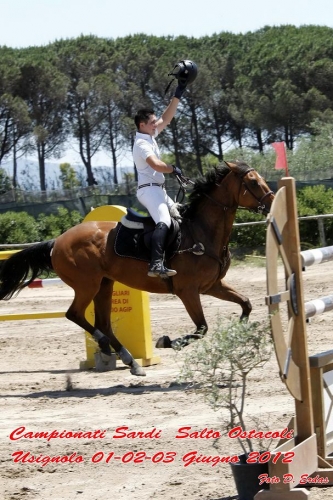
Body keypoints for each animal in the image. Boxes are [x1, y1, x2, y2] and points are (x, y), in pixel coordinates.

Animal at [0, 160, 274, 376]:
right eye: (253, 182)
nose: (272, 203)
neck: (202, 231)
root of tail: (57, 241)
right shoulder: (188, 291)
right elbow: (201, 328)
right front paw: (166, 341)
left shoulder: (213, 285)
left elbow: (246, 303)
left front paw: (239, 330)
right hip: (87, 285)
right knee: (75, 315)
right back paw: (109, 347)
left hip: (104, 285)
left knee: (103, 322)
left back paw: (129, 360)